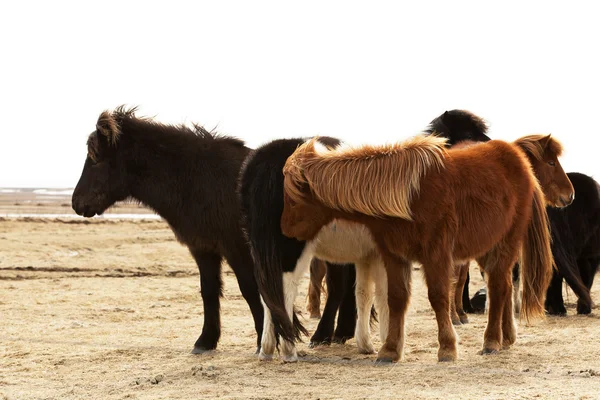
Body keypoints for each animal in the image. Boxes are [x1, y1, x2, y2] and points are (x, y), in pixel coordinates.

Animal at [71, 107, 264, 354]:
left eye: (95, 158)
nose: (76, 203)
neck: (204, 179)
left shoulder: (237, 248)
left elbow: (250, 290)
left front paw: (264, 343)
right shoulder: (203, 248)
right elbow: (209, 290)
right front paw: (205, 341)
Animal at [278, 134, 576, 362]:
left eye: (293, 198)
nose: (284, 229)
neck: (408, 195)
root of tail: (519, 160)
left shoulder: (436, 256)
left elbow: (439, 297)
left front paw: (447, 348)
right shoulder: (394, 256)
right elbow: (396, 299)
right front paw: (389, 351)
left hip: (506, 243)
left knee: (499, 287)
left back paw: (491, 341)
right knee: (500, 287)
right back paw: (502, 339)